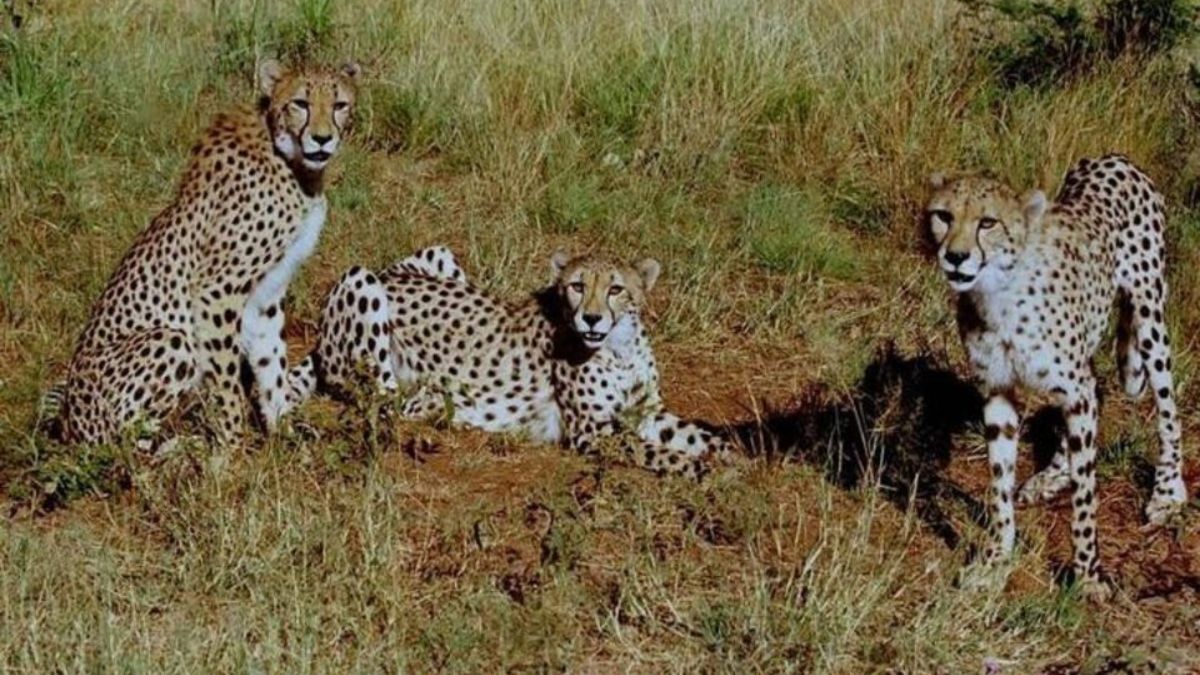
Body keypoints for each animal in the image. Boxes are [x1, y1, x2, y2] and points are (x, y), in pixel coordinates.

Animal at [47, 59, 361, 448]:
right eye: (300, 103)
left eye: (339, 105)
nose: (321, 138)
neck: (292, 163)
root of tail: (70, 422)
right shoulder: (217, 290)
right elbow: (226, 379)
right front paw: (233, 444)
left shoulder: (267, 291)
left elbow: (271, 363)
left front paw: (281, 431)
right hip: (170, 341)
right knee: (125, 443)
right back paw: (180, 446)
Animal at [284, 246, 733, 477]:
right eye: (577, 286)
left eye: (616, 289)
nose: (591, 318)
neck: (619, 348)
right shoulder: (591, 431)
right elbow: (656, 452)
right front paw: (700, 469)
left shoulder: (647, 413)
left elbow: (697, 436)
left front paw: (727, 456)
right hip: (362, 280)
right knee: (385, 403)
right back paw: (440, 406)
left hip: (437, 254)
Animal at [926, 154, 1188, 598]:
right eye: (944, 216)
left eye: (987, 222)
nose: (956, 256)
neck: (999, 294)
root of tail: (1114, 157)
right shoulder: (998, 393)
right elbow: (999, 485)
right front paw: (997, 559)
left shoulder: (1074, 389)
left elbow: (1086, 497)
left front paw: (1088, 575)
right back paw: (1051, 475)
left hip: (1149, 314)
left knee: (1167, 408)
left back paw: (1168, 491)